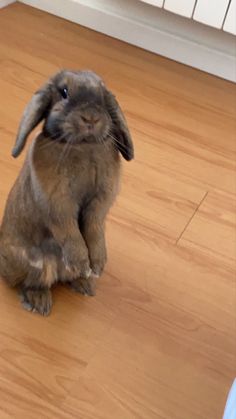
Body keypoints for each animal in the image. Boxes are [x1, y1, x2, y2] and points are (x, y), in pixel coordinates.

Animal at [0, 70, 134, 316]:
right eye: (64, 92)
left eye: (102, 96)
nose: (91, 118)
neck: (83, 146)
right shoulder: (58, 205)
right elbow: (70, 231)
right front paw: (83, 263)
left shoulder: (99, 203)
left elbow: (94, 228)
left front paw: (97, 265)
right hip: (36, 267)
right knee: (30, 283)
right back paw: (40, 303)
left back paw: (85, 284)